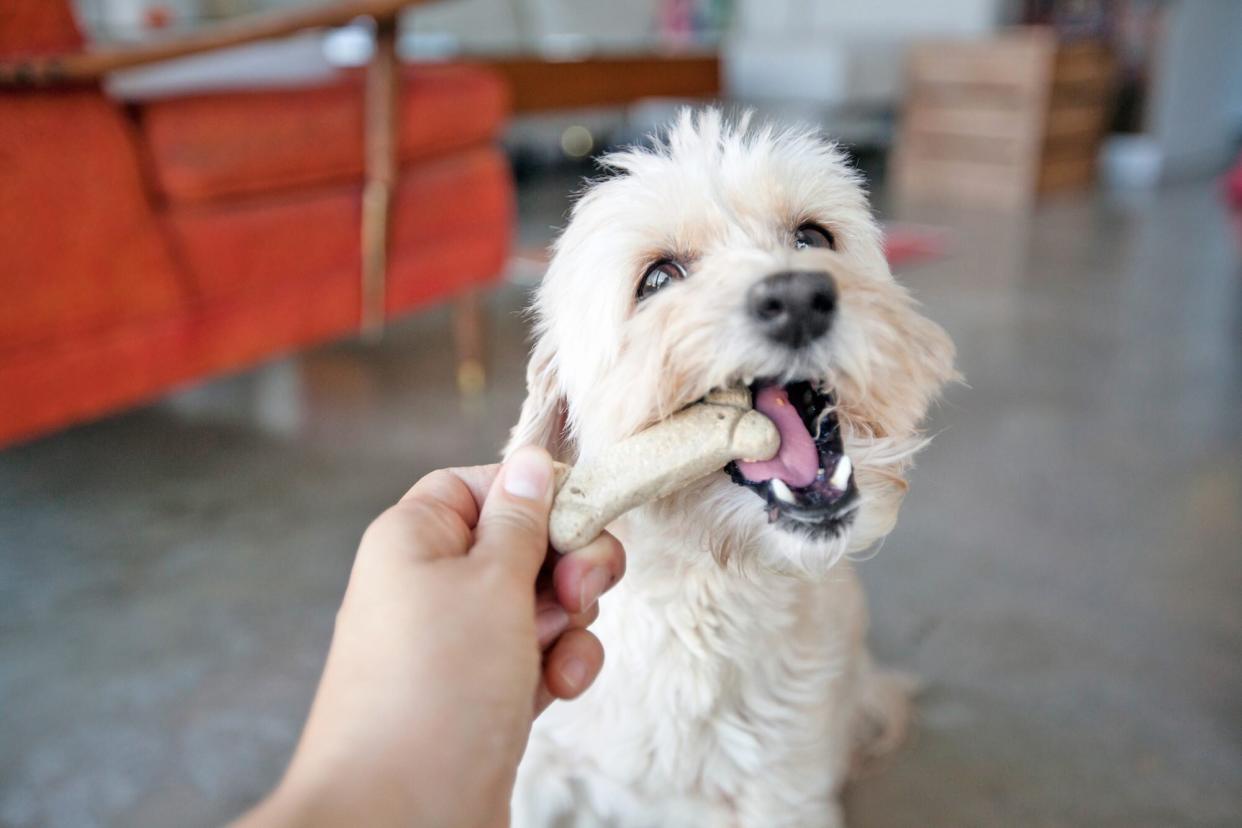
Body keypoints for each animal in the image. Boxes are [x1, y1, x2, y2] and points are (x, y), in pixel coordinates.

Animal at [501, 111, 948, 828]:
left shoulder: (784, 794)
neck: (704, 594)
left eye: (812, 237)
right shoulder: (536, 776)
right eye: (658, 280)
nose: (799, 296)